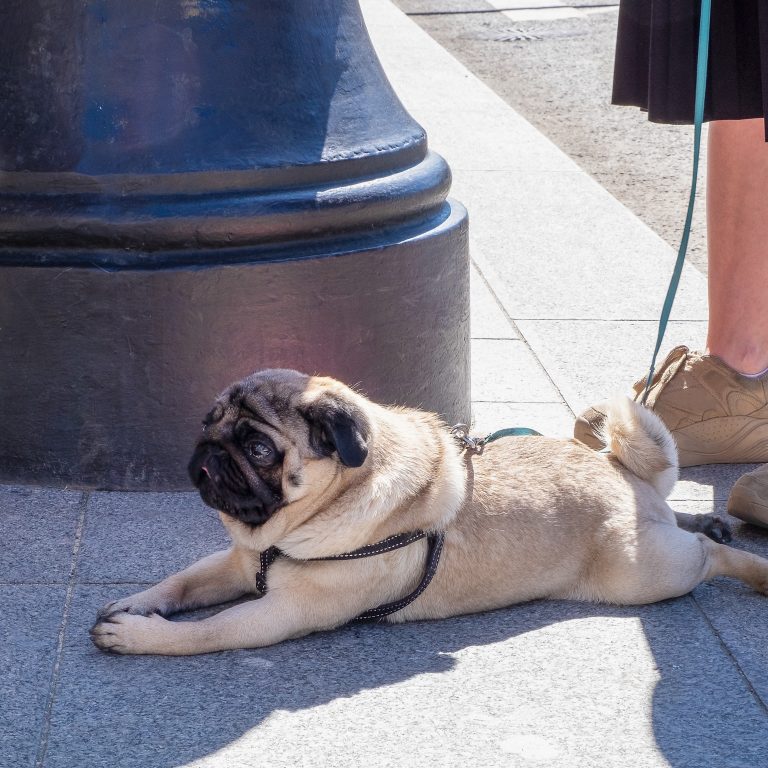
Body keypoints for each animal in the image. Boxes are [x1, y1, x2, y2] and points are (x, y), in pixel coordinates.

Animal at [93, 370, 768, 656]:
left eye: (258, 450)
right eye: (208, 423)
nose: (209, 453)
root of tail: (625, 474)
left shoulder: (282, 613)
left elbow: (208, 631)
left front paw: (141, 636)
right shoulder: (237, 561)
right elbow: (181, 582)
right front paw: (137, 604)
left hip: (644, 574)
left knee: (709, 558)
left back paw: (749, 565)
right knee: (683, 523)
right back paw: (706, 518)